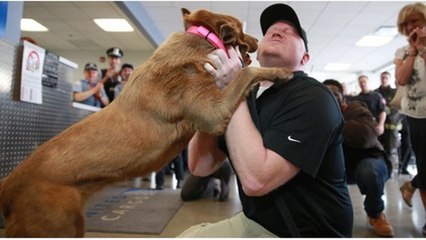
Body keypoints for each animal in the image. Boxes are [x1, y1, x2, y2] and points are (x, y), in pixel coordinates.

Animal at [0, 7, 292, 236]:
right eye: (242, 30)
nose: (259, 39)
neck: (200, 39)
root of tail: (8, 186)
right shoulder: (214, 112)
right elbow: (247, 72)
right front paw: (280, 72)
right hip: (57, 225)